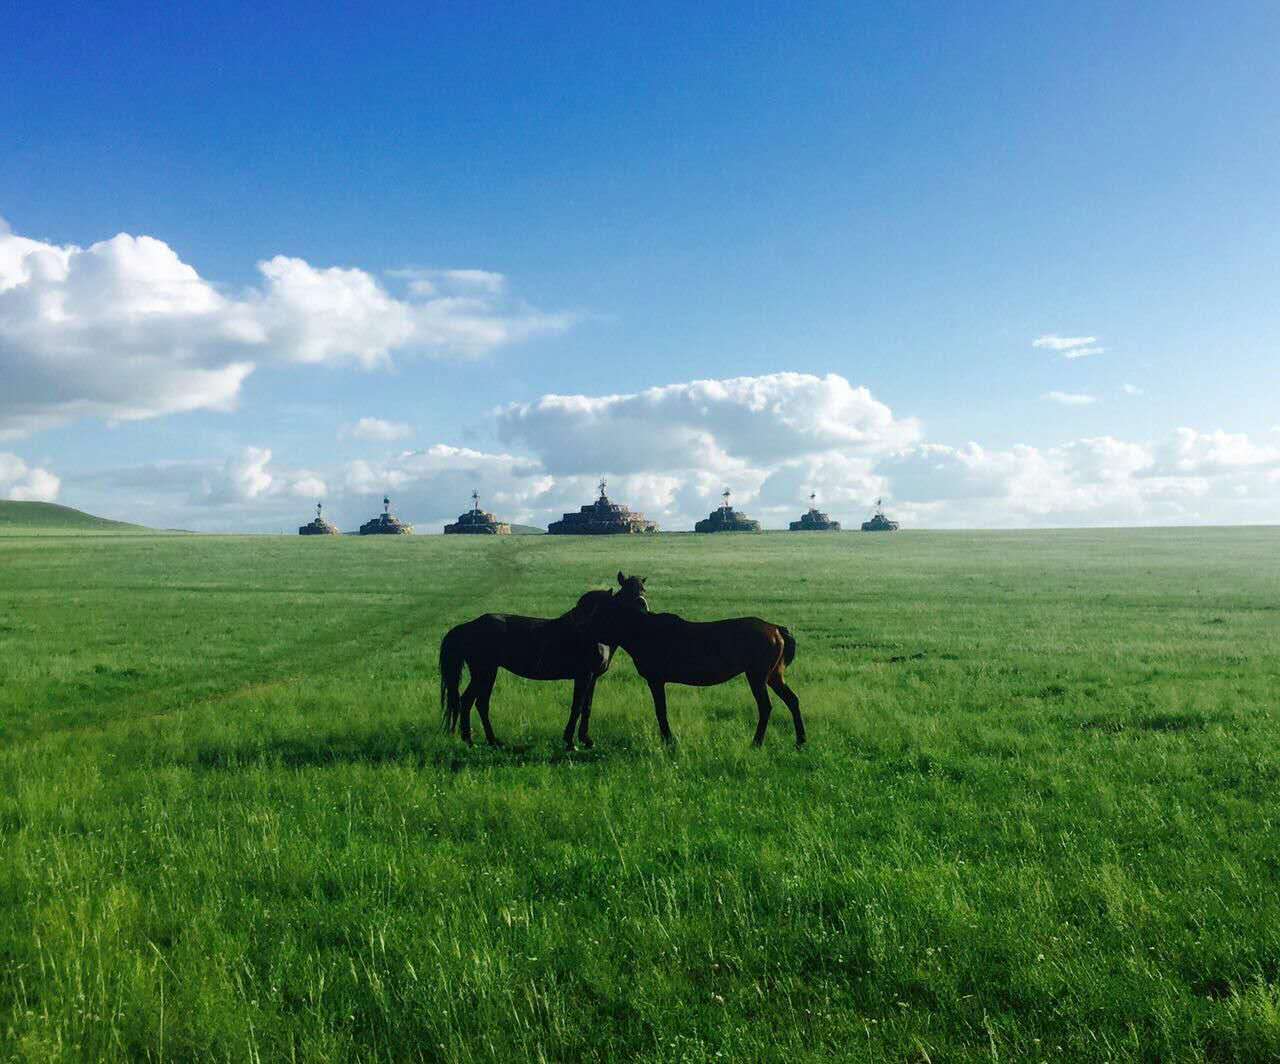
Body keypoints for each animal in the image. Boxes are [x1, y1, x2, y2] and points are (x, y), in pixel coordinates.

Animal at [440, 586, 619, 752]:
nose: (582, 629)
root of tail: (468, 627)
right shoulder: (584, 676)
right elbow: (578, 707)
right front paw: (571, 743)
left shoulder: (592, 678)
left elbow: (586, 707)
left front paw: (586, 740)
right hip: (484, 673)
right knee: (468, 701)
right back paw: (470, 741)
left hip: (488, 673)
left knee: (481, 703)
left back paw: (493, 741)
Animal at [581, 573, 798, 747]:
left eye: (599, 612)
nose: (585, 628)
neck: (643, 630)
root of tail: (776, 628)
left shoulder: (656, 680)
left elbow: (661, 710)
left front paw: (668, 740)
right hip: (773, 675)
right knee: (792, 700)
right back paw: (800, 741)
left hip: (757, 676)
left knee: (765, 707)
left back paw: (756, 743)